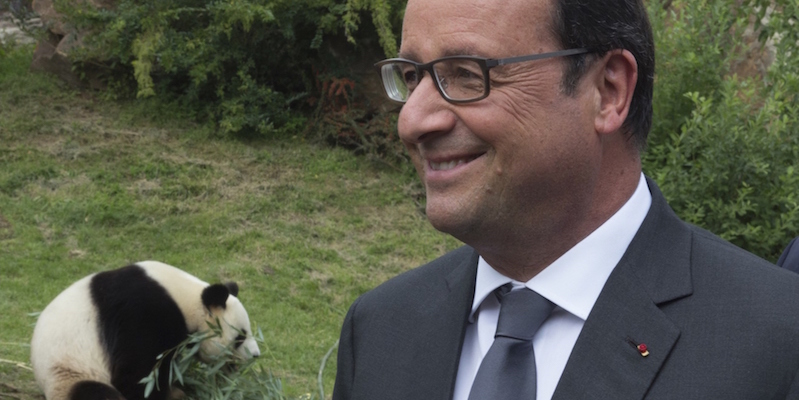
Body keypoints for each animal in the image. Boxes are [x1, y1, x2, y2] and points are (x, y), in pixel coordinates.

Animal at [31, 260, 260, 400]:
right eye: (240, 337)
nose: (256, 355)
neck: (187, 299)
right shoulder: (142, 314)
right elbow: (135, 374)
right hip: (68, 372)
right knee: (93, 392)